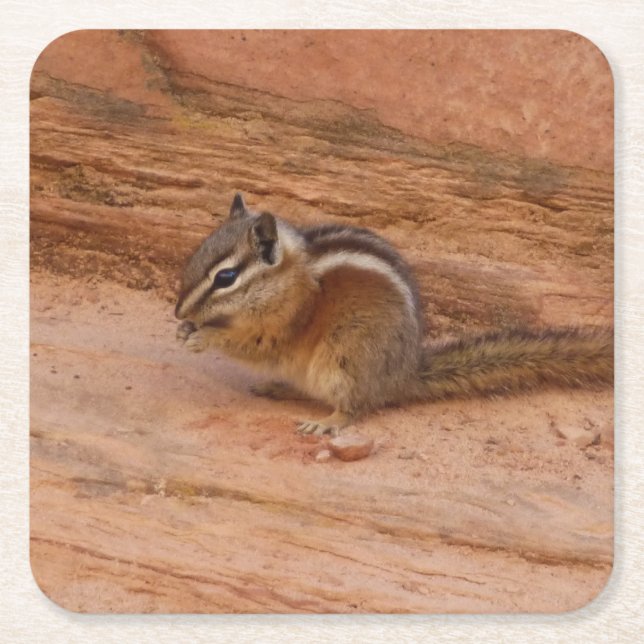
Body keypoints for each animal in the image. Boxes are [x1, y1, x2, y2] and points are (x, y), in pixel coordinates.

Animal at [175, 193, 613, 436]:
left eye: (226, 277)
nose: (177, 309)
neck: (286, 278)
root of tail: (403, 374)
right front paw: (184, 329)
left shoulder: (286, 323)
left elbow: (254, 344)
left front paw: (203, 336)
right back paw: (279, 388)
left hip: (345, 356)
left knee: (357, 406)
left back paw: (329, 422)